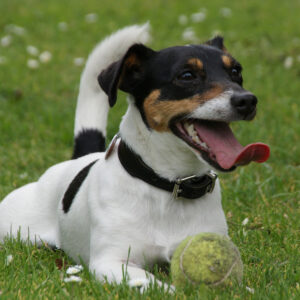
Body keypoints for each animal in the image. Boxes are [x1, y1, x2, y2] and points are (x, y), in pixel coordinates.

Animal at [0, 23, 270, 290]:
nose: (247, 100)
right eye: (187, 76)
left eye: (236, 71)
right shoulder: (111, 262)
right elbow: (157, 285)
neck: (169, 186)